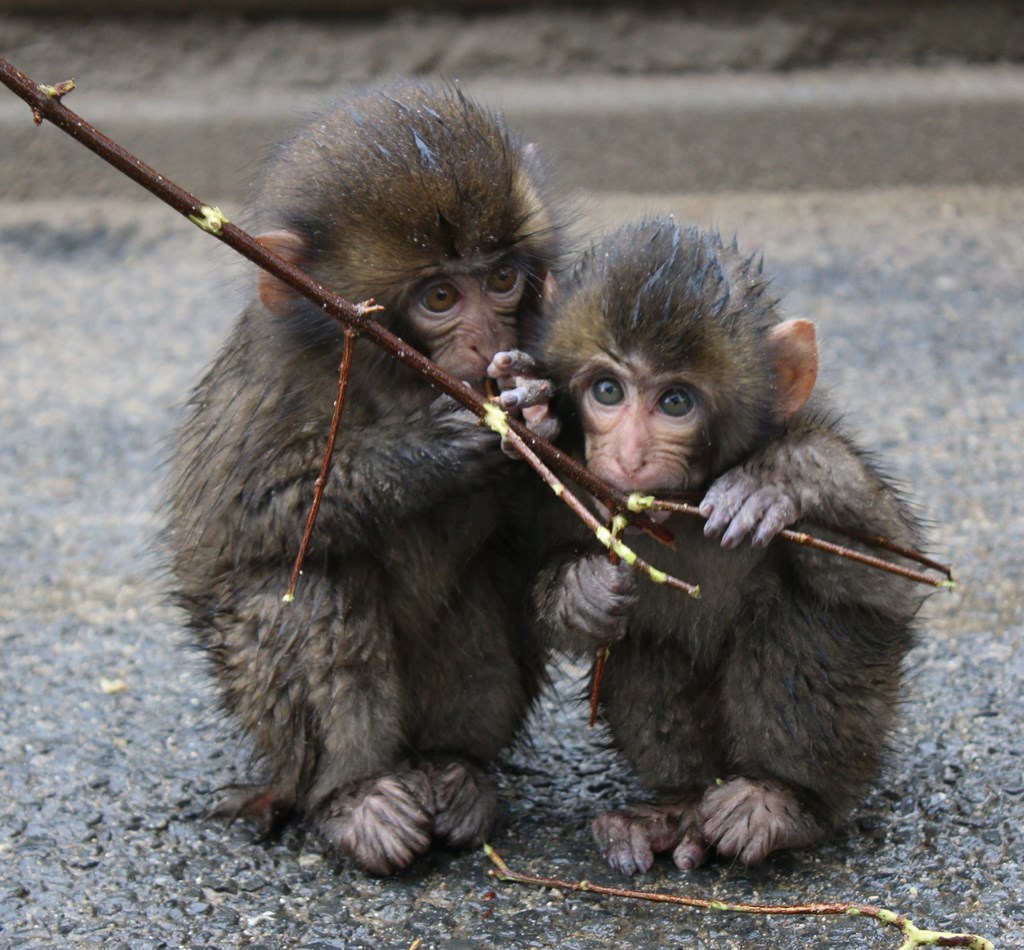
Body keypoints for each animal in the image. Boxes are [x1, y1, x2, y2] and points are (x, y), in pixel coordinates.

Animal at [169, 81, 569, 876]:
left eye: (502, 279)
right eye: (439, 298)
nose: (490, 340)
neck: (395, 385)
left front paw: (535, 414)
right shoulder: (279, 384)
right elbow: (241, 517)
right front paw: (436, 450)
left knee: (482, 588)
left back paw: (456, 770)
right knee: (308, 591)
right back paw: (350, 798)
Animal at [536, 217, 929, 876]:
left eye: (675, 402)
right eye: (608, 391)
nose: (629, 457)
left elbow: (891, 582)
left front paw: (777, 481)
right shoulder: (565, 478)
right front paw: (584, 593)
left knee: (805, 613)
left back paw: (784, 802)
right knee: (648, 641)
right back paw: (677, 805)